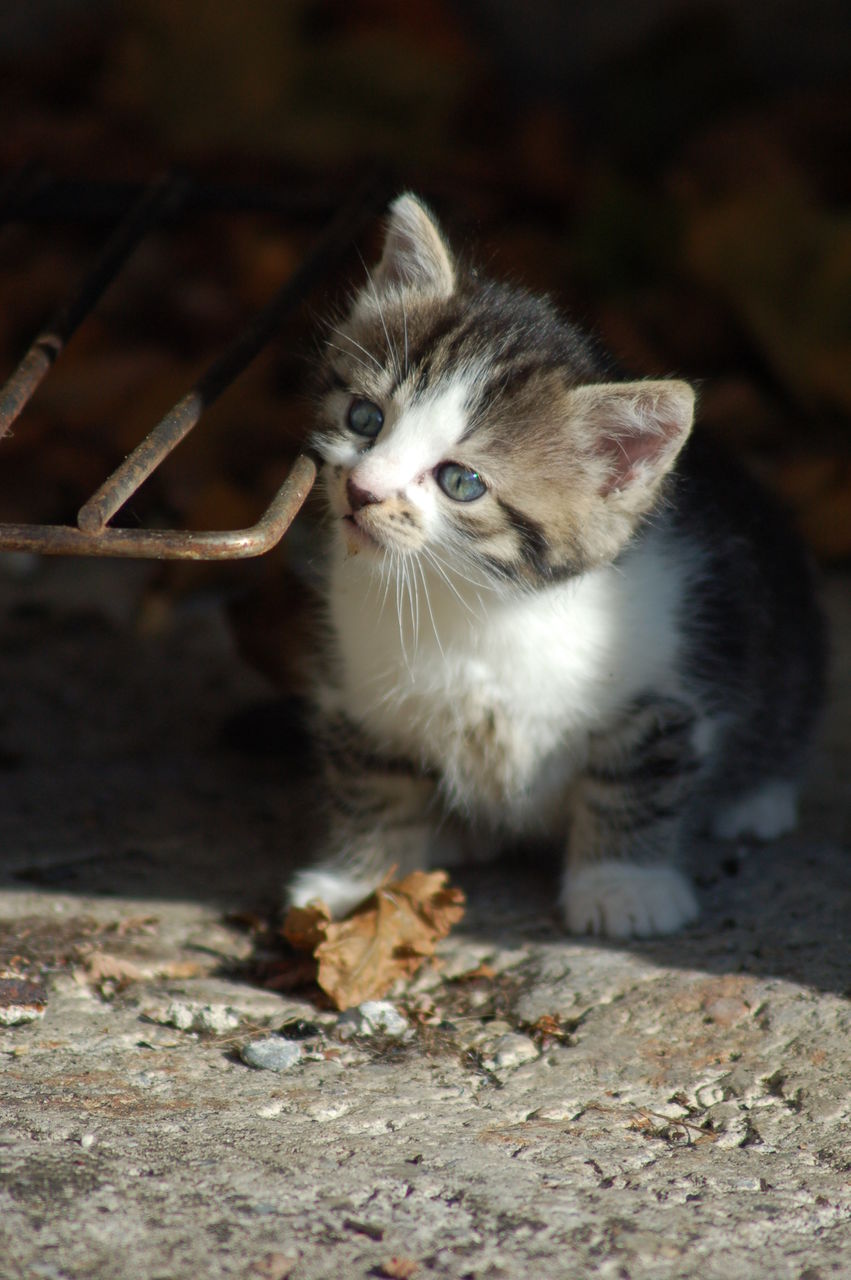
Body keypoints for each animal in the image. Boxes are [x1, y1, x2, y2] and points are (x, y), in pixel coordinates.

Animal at [285, 197, 824, 942]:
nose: (362, 490)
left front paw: (623, 886)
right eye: (365, 418)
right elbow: (369, 779)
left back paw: (757, 799)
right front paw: (356, 884)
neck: (475, 604)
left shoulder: (664, 689)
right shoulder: (358, 692)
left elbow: (637, 779)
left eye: (460, 482)